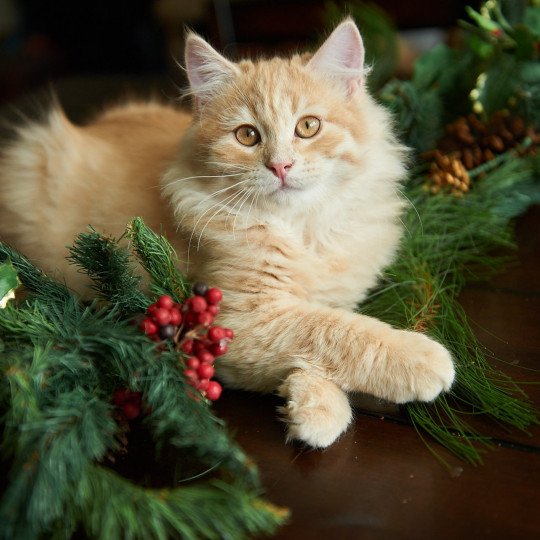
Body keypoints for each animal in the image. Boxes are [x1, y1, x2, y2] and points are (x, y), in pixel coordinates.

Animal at [0, 21, 456, 448]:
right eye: (247, 135)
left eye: (308, 127)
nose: (280, 166)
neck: (301, 230)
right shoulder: (239, 318)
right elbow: (336, 331)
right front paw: (421, 358)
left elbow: (325, 330)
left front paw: (311, 408)